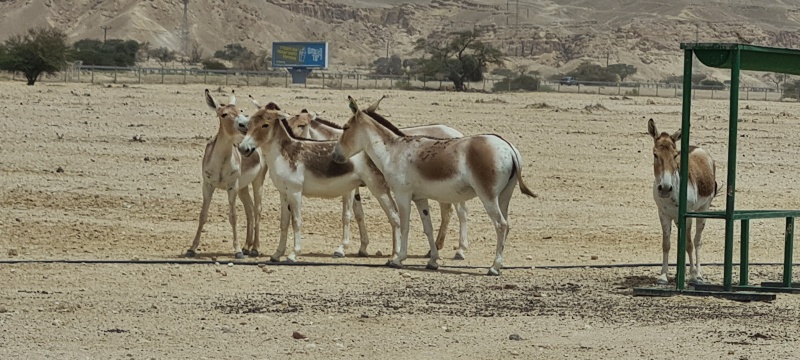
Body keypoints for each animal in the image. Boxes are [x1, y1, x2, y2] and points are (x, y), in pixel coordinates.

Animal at [188, 90, 268, 258]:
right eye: (224, 114)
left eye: (239, 110)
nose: (245, 125)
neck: (221, 161)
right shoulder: (208, 186)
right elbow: (203, 215)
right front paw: (191, 249)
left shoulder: (232, 187)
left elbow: (233, 216)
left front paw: (237, 251)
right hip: (243, 188)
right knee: (249, 210)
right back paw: (247, 246)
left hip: (257, 182)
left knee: (257, 209)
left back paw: (255, 248)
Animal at [236, 107, 400, 262]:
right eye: (249, 125)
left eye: (265, 125)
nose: (243, 148)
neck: (285, 154)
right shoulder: (283, 193)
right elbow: (284, 223)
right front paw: (277, 254)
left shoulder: (295, 192)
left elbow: (296, 221)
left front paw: (293, 254)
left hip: (378, 186)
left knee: (394, 215)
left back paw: (395, 256)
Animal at [288, 96, 472, 258]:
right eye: (287, 122)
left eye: (301, 124)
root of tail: (455, 132)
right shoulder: (356, 185)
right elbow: (359, 214)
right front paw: (363, 247)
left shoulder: (349, 188)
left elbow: (346, 215)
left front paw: (341, 248)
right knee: (447, 212)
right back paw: (435, 247)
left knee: (461, 214)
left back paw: (460, 250)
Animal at [332, 95, 536, 276]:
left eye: (345, 127)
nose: (335, 156)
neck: (393, 151)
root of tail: (508, 146)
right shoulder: (420, 198)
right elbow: (427, 227)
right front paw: (432, 260)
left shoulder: (402, 194)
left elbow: (404, 225)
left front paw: (398, 259)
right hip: (504, 195)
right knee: (507, 225)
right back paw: (499, 264)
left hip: (488, 196)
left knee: (501, 225)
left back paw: (494, 267)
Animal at [648, 118, 716, 284]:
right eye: (655, 154)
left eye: (675, 155)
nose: (665, 188)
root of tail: (699, 148)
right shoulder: (663, 215)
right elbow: (666, 244)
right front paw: (663, 276)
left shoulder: (688, 215)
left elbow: (689, 244)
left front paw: (692, 275)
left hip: (702, 211)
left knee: (697, 241)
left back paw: (698, 273)